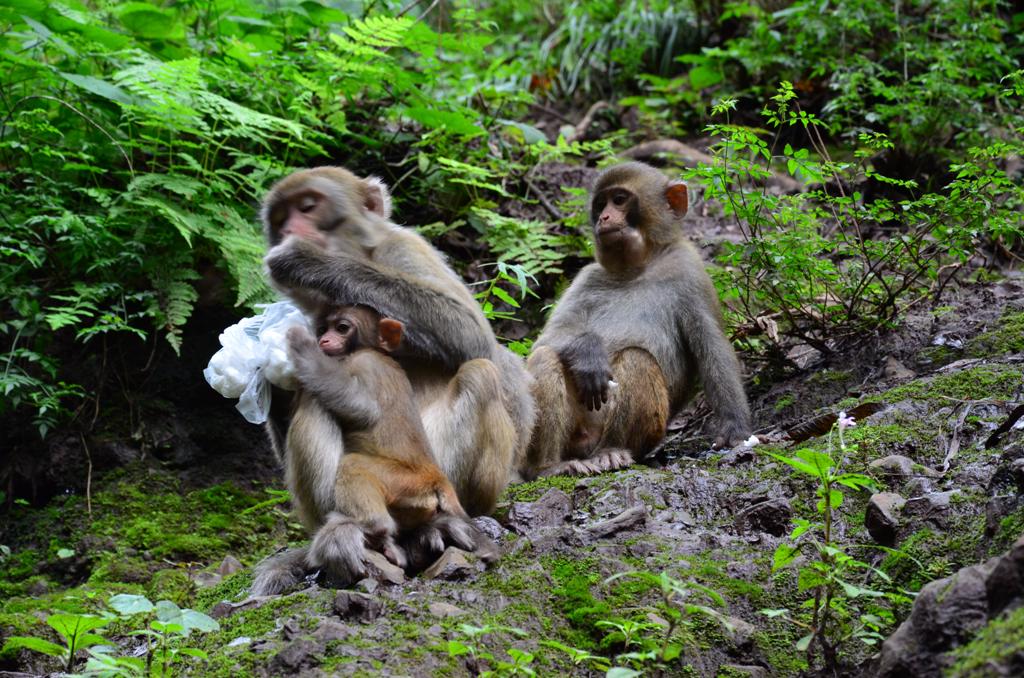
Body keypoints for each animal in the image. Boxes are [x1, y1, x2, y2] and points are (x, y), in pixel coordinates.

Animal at [251, 305, 499, 598]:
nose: (323, 340)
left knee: (348, 456)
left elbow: (361, 405)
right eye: (323, 328)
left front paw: (300, 345)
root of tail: (438, 479)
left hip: (406, 482)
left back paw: (371, 527)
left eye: (342, 328)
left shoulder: (366, 363)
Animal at [258, 168, 536, 516]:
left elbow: (470, 334)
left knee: (482, 372)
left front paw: (310, 262)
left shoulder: (404, 247)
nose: (288, 231)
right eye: (280, 219)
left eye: (308, 207)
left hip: (435, 471)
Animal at [524, 160, 749, 477]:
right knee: (546, 356)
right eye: (600, 204)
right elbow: (549, 338)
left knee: (637, 358)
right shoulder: (588, 277)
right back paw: (549, 466)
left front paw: (735, 429)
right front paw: (588, 351)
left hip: (647, 432)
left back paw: (612, 450)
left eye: (619, 200)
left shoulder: (689, 272)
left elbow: (712, 347)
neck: (640, 266)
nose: (604, 217)